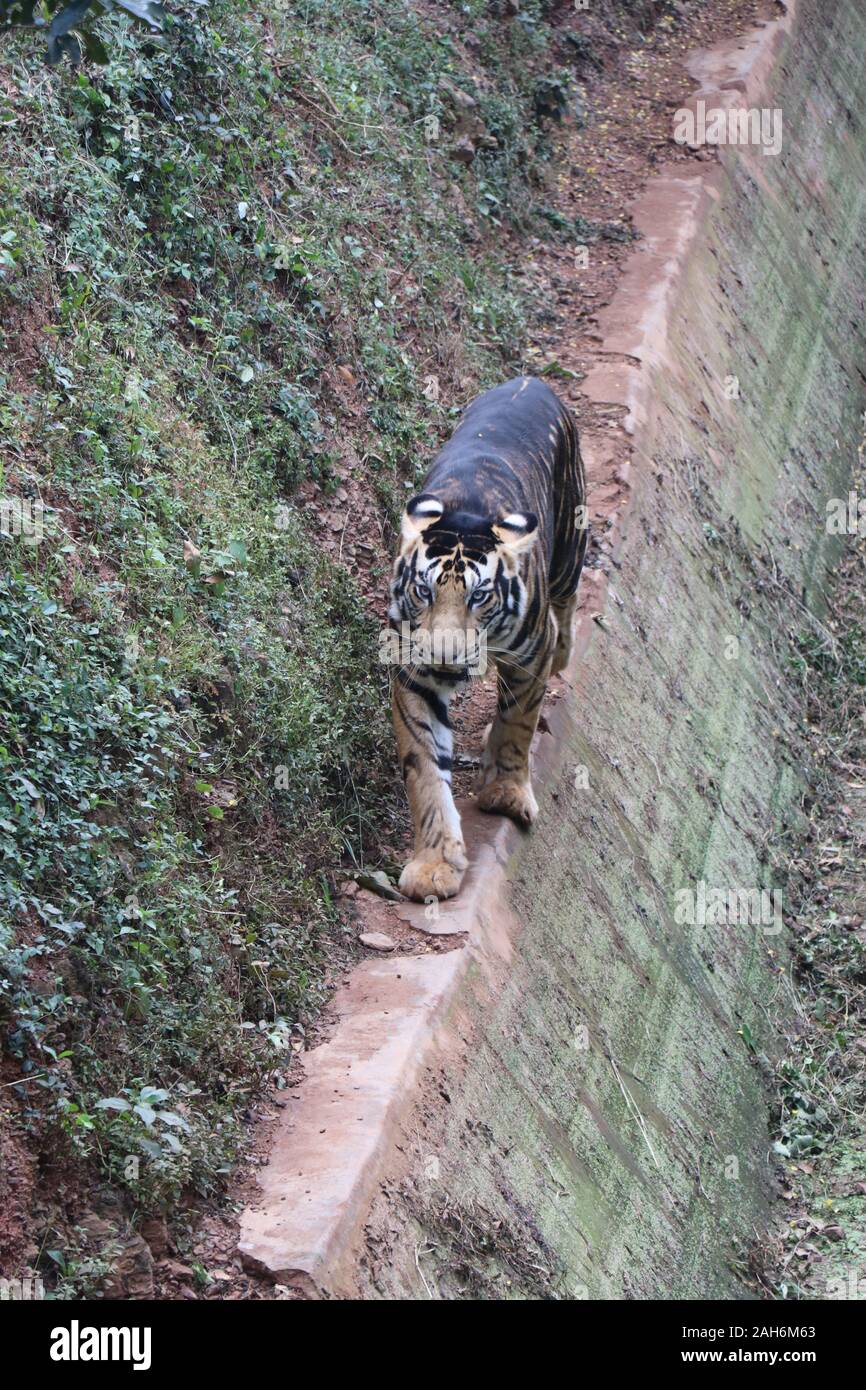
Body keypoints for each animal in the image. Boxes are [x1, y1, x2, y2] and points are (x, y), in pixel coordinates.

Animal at [391, 375, 589, 906]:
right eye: (424, 591)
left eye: (479, 596)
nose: (445, 656)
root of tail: (531, 379)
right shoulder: (414, 674)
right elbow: (425, 769)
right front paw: (434, 866)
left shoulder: (530, 653)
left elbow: (518, 724)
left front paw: (506, 794)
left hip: (571, 545)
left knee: (567, 606)